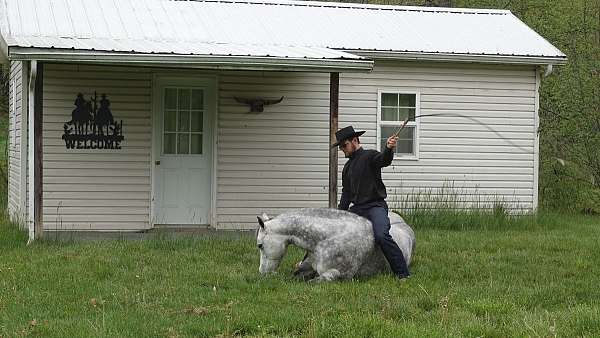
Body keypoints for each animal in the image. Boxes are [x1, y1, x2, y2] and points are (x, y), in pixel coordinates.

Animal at [255, 209, 414, 282]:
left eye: (260, 246)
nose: (261, 272)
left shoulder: (339, 274)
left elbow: (313, 282)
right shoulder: (307, 268)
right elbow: (294, 275)